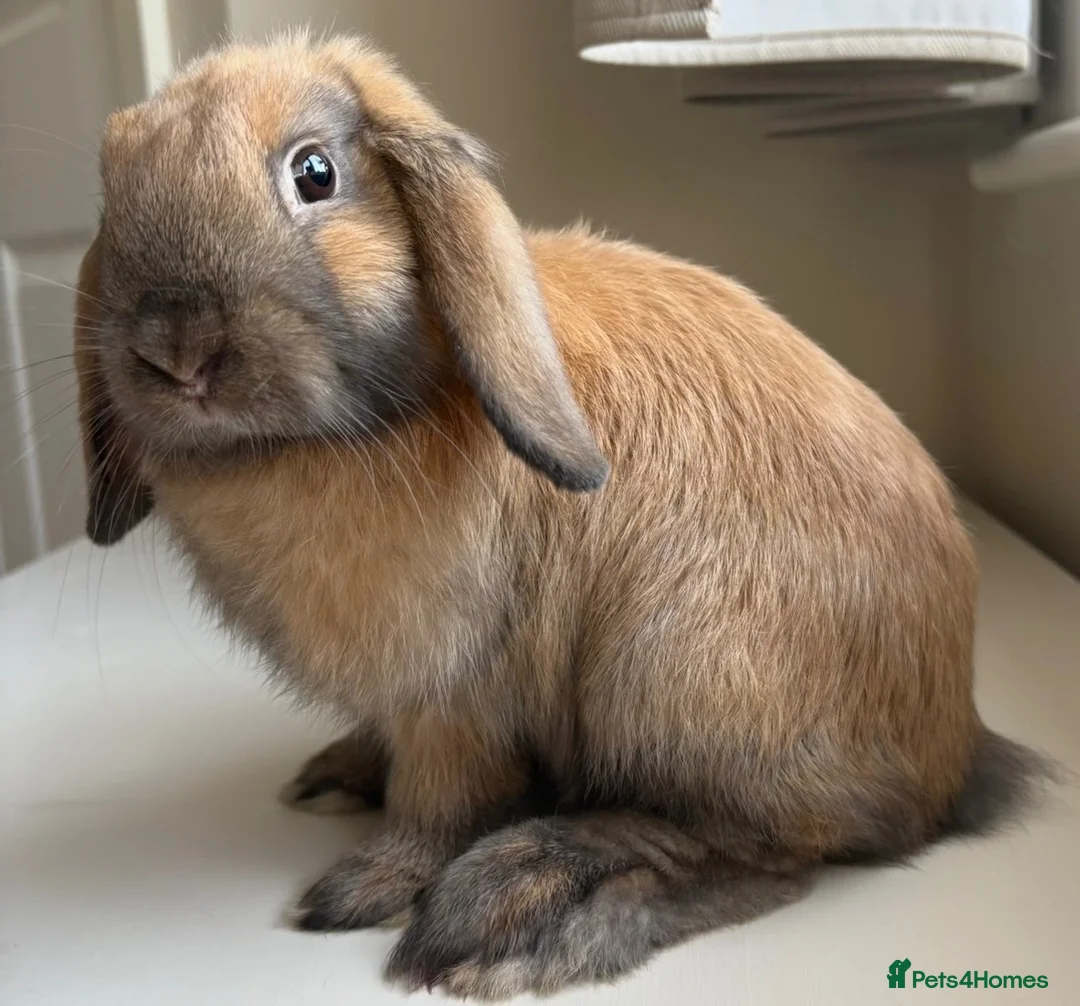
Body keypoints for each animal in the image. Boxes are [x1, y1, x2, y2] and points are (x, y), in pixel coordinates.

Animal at [73, 32, 1051, 1000]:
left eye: (315, 173)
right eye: (110, 191)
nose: (177, 351)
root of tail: (956, 760)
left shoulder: (453, 695)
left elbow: (439, 804)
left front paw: (363, 887)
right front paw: (344, 771)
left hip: (673, 682)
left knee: (758, 853)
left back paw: (519, 914)